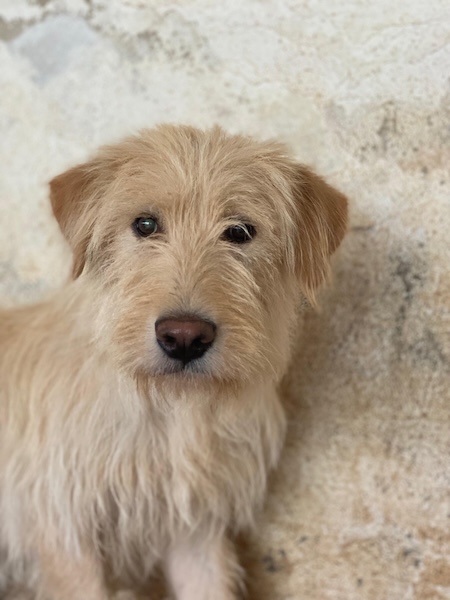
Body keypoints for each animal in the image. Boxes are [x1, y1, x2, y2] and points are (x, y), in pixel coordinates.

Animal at [0, 125, 347, 599]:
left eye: (240, 231)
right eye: (145, 225)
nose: (184, 337)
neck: (165, 408)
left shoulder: (194, 530)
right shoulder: (63, 534)